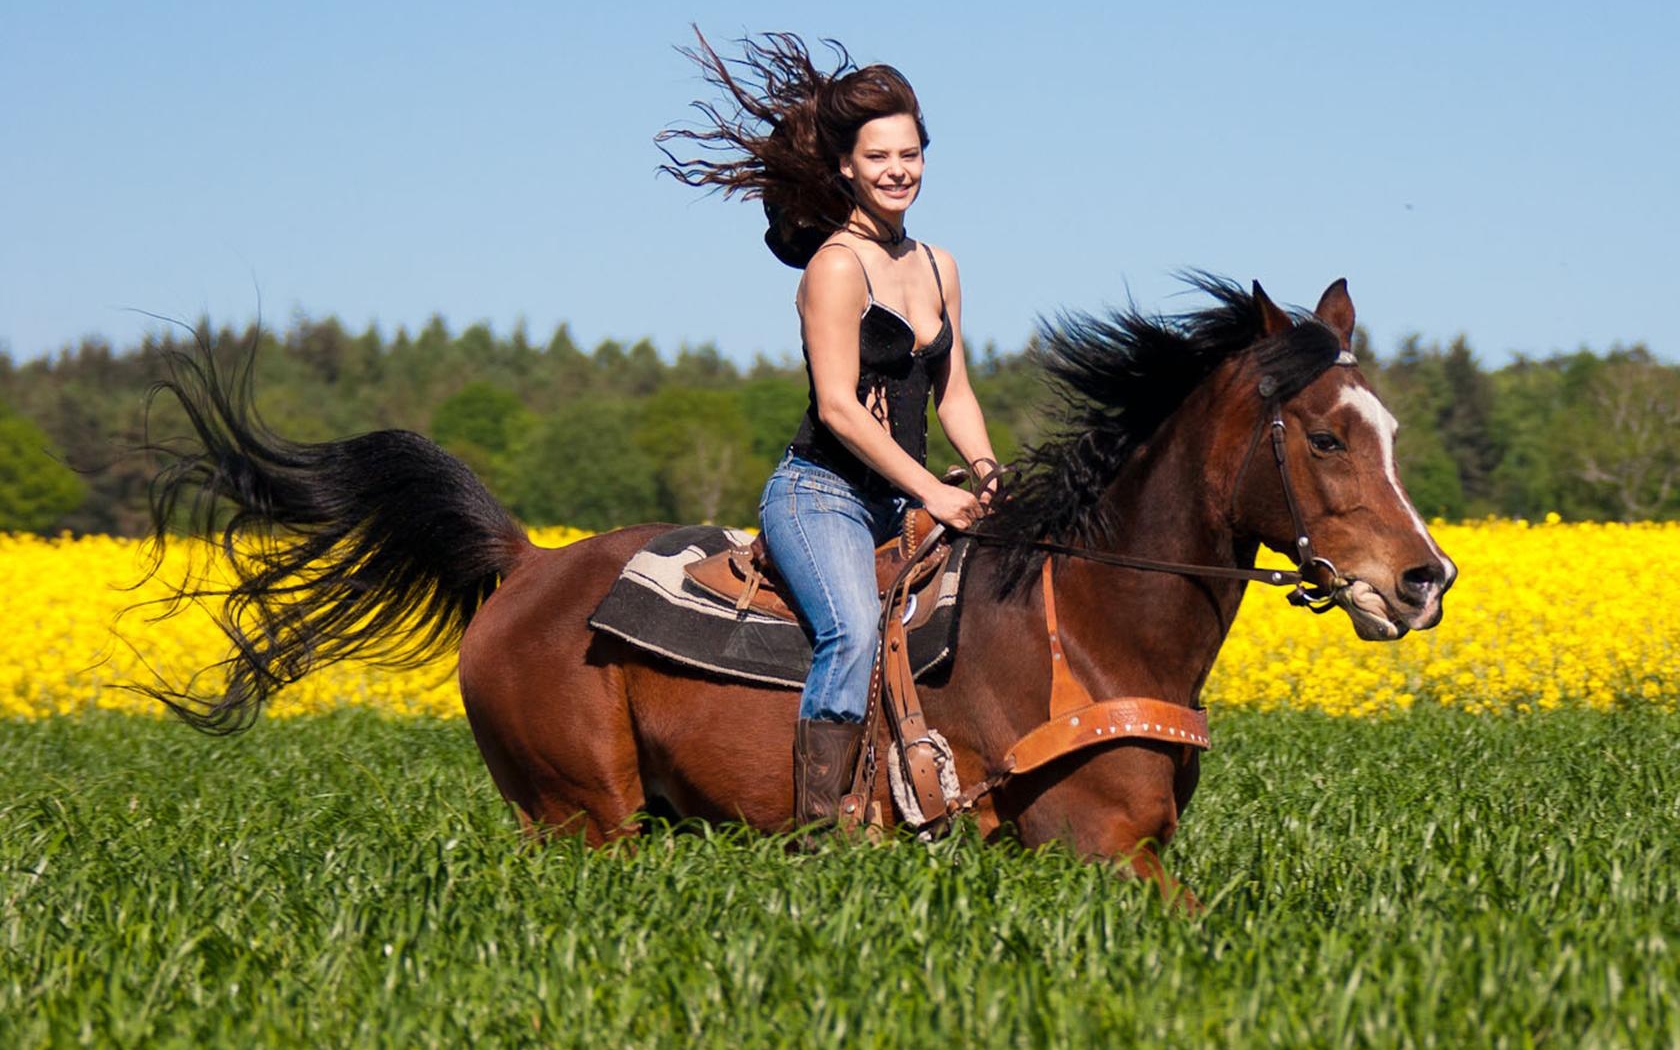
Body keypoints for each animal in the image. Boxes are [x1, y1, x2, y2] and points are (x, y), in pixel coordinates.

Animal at [141, 277, 1458, 900]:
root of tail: (526, 564)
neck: (1087, 621)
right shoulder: (1091, 851)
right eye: (1327, 436)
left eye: (1391, 428)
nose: (1424, 580)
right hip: (583, 819)